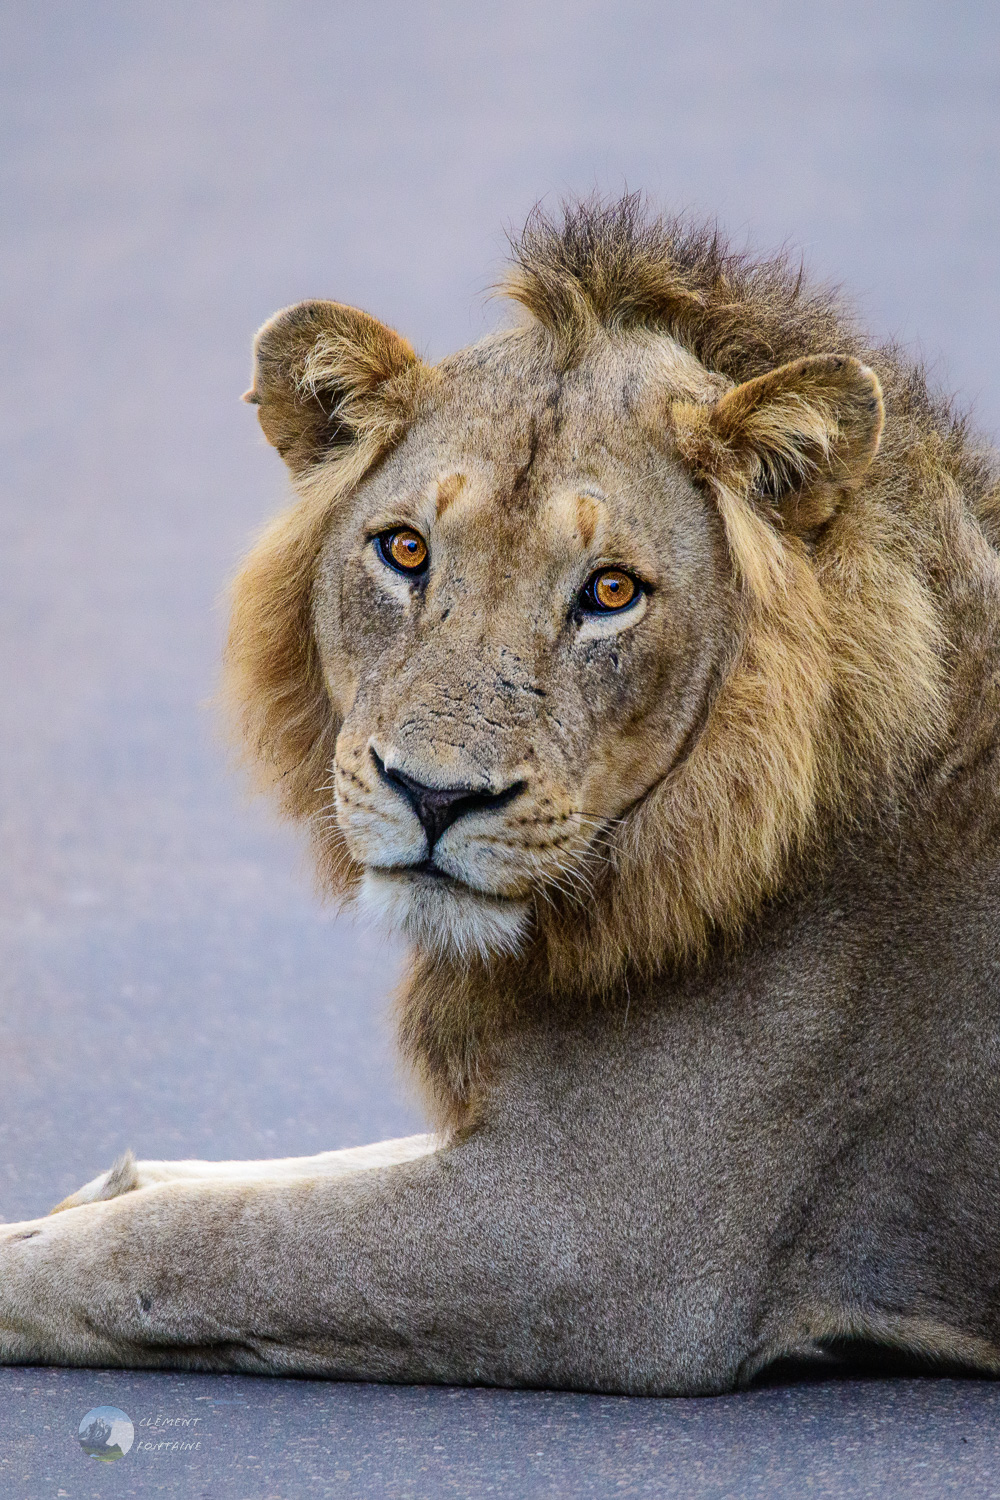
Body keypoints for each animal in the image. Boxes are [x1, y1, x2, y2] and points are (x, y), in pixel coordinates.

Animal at [1, 199, 1000, 1392]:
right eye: (405, 550)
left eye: (610, 591)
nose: (434, 798)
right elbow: (287, 1176)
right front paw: (90, 1190)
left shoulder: (595, 1243)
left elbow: (205, 1244)